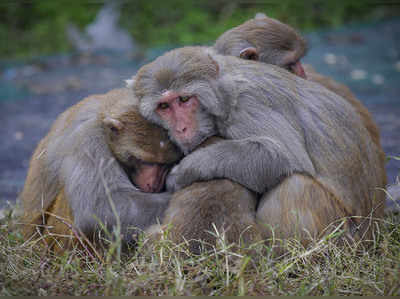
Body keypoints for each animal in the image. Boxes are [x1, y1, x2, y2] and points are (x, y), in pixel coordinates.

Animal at [133, 46, 386, 248]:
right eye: (164, 106)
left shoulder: (247, 107)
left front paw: (183, 171)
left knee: (295, 185)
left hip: (343, 235)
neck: (224, 92)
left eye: (184, 100)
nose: (181, 128)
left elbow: (282, 155)